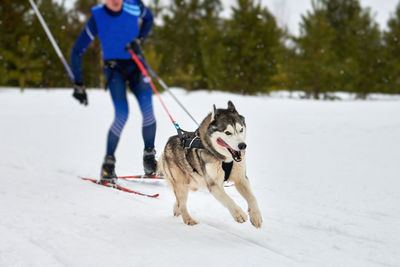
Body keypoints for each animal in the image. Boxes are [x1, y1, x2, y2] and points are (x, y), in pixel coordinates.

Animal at [158, 100, 264, 228]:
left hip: (194, 183)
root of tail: (168, 143)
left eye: (241, 129)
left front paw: (256, 216)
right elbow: (228, 200)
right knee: (182, 204)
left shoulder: (241, 179)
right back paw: (189, 220)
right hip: (181, 184)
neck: (224, 159)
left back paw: (176, 209)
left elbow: (252, 198)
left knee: (179, 202)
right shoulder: (214, 185)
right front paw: (239, 214)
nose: (242, 145)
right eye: (227, 132)